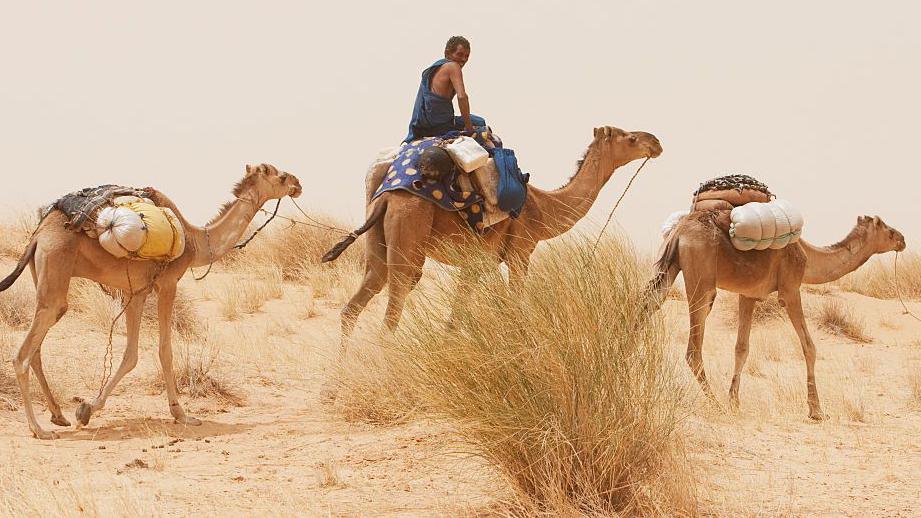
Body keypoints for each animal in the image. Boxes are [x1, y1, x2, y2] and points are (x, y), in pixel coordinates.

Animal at [0, 164, 302, 439]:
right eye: (280, 176)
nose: (298, 184)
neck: (194, 242)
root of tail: (38, 235)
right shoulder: (167, 284)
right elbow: (165, 350)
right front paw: (181, 413)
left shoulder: (137, 292)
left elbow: (131, 354)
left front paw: (86, 409)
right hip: (55, 268)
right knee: (23, 354)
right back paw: (39, 429)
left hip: (43, 276)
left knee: (38, 346)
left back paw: (58, 415)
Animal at [323, 126, 662, 343]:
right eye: (631, 138)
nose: (656, 142)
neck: (542, 207)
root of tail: (386, 196)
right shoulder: (520, 253)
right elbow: (514, 308)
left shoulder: (476, 265)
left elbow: (454, 322)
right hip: (410, 227)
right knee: (392, 312)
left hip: (378, 237)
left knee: (355, 304)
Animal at [647, 211, 906, 420]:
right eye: (887, 228)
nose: (902, 239)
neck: (808, 256)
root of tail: (679, 231)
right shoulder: (790, 290)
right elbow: (809, 347)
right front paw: (816, 410)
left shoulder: (749, 294)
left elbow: (741, 348)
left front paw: (734, 401)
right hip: (701, 281)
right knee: (693, 350)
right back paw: (714, 403)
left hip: (667, 269)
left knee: (647, 305)